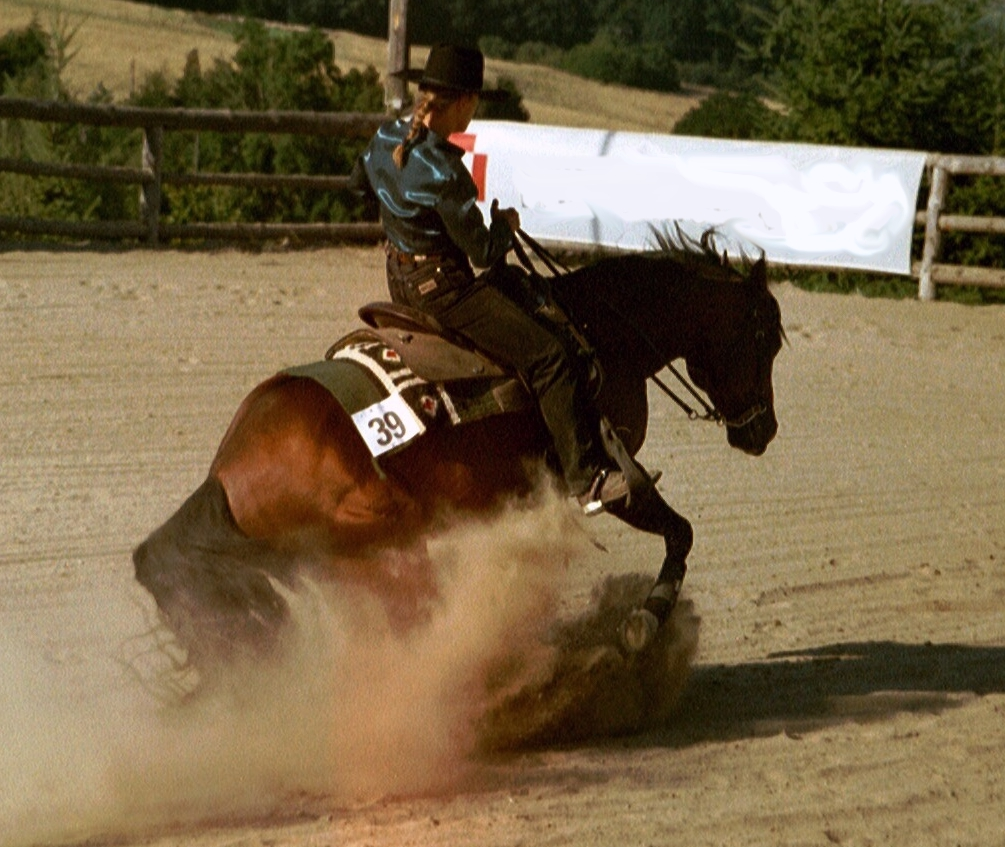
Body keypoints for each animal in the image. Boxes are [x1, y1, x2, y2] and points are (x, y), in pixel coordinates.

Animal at [133, 228, 783, 671]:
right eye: (763, 337)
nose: (762, 431)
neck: (599, 329)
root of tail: (225, 476)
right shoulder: (610, 475)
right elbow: (680, 533)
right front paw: (644, 623)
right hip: (383, 539)